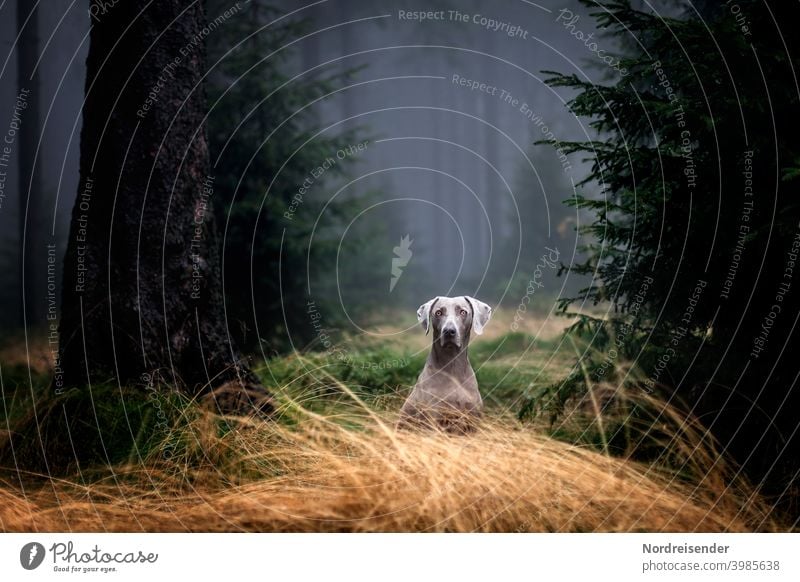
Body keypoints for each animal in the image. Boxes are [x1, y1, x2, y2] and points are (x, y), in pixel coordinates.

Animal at [396, 296, 490, 434]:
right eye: (438, 312)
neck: (453, 367)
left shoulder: (473, 421)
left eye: (463, 312)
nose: (449, 331)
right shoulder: (434, 419)